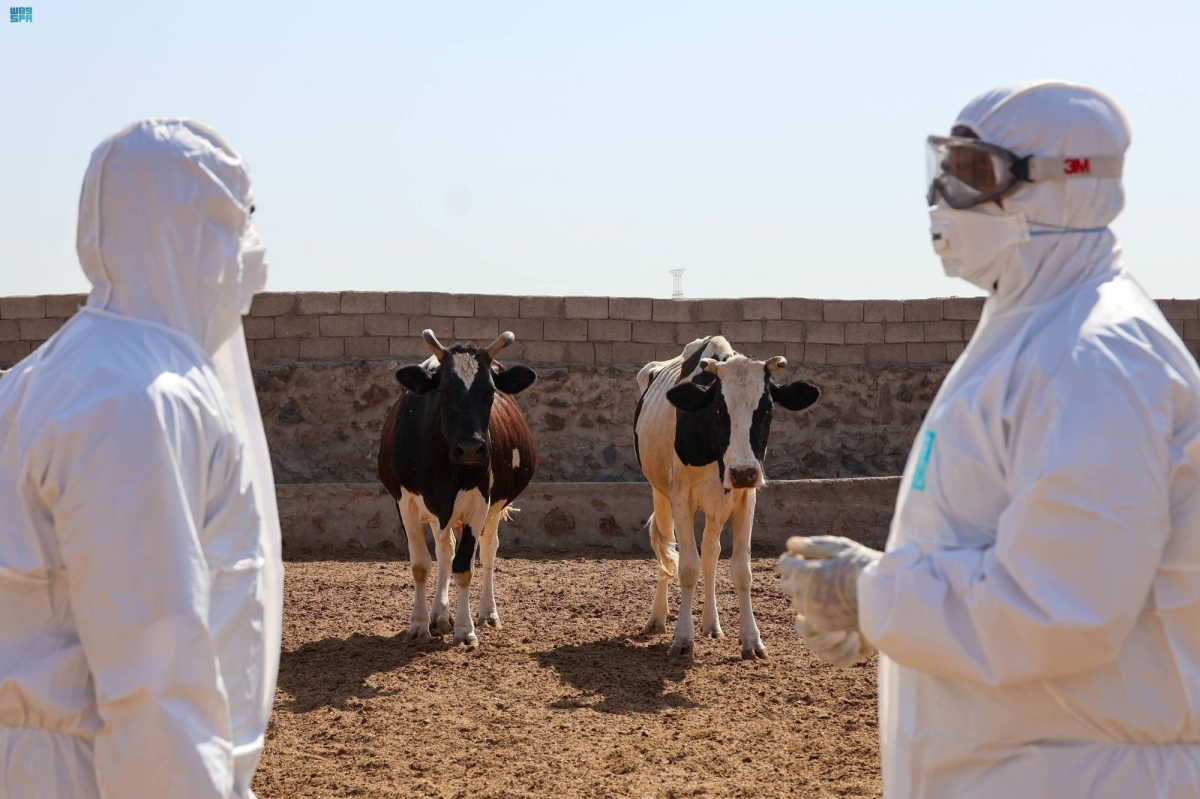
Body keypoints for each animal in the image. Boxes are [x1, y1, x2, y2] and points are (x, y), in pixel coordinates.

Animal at [378, 329, 537, 648]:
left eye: (490, 393)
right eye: (444, 392)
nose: (471, 448)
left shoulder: (479, 504)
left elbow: (464, 566)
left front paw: (465, 629)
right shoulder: (405, 503)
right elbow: (422, 564)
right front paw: (419, 624)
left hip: (494, 508)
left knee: (487, 550)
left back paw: (487, 613)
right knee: (444, 551)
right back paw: (440, 614)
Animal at [634, 336, 821, 659]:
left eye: (767, 410)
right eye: (719, 410)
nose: (743, 471)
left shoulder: (746, 498)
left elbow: (740, 570)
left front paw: (751, 640)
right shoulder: (681, 497)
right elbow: (686, 567)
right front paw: (683, 639)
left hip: (716, 507)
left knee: (710, 552)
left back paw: (712, 624)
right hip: (660, 492)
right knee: (666, 548)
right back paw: (657, 618)